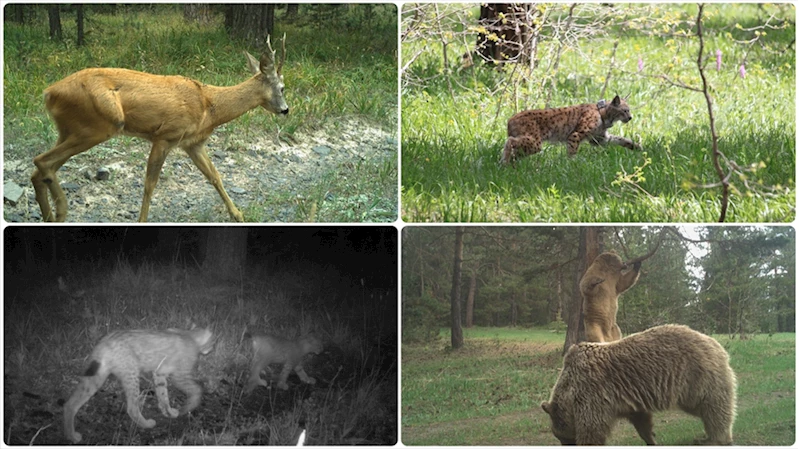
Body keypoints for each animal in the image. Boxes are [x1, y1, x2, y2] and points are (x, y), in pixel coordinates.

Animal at [31, 35, 290, 222]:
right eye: (283, 87)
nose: (285, 110)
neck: (209, 106)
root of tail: (49, 93)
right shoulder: (165, 136)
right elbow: (150, 184)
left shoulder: (192, 143)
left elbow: (214, 176)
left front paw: (237, 214)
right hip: (100, 124)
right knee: (41, 161)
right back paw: (61, 210)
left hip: (70, 129)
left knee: (39, 171)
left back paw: (51, 216)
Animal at [544, 324, 736, 446]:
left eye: (562, 437)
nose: (565, 444)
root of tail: (716, 344)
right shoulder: (628, 402)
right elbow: (642, 421)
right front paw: (652, 438)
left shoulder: (592, 392)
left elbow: (592, 428)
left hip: (697, 375)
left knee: (713, 407)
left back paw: (716, 438)